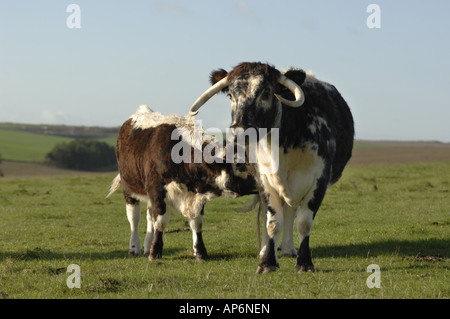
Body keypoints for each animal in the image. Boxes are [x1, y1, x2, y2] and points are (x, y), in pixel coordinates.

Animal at [103, 106, 255, 262]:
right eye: (240, 166)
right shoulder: (157, 192)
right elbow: (161, 222)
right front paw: (155, 252)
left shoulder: (196, 195)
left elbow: (196, 223)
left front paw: (200, 253)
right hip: (129, 190)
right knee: (134, 219)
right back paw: (134, 248)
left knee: (149, 216)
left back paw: (146, 247)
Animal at [188, 62, 354, 276]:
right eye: (230, 95)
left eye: (266, 93)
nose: (240, 132)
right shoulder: (264, 183)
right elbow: (273, 222)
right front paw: (267, 262)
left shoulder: (319, 181)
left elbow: (304, 222)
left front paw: (304, 263)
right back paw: (270, 249)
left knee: (291, 213)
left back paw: (289, 249)